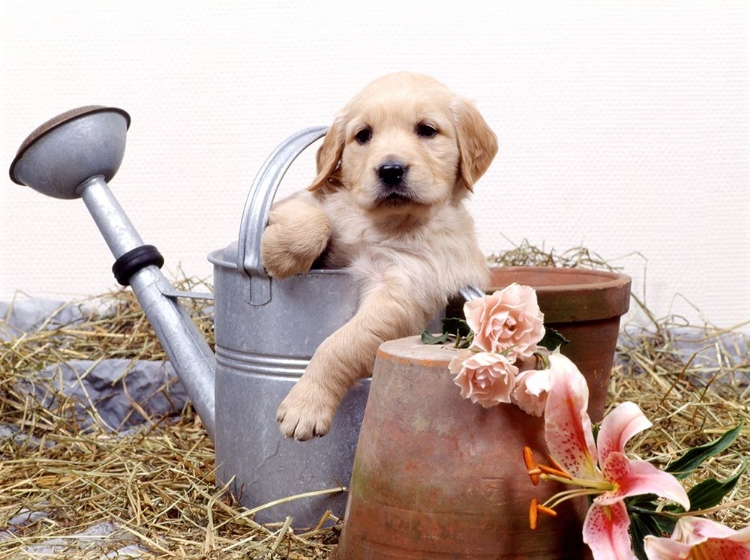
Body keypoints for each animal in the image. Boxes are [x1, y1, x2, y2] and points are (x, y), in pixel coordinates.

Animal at [262, 72, 500, 440]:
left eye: (427, 130)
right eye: (363, 135)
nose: (390, 169)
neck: (384, 222)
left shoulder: (401, 288)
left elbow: (340, 344)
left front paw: (306, 405)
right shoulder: (303, 200)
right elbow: (313, 218)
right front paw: (280, 256)